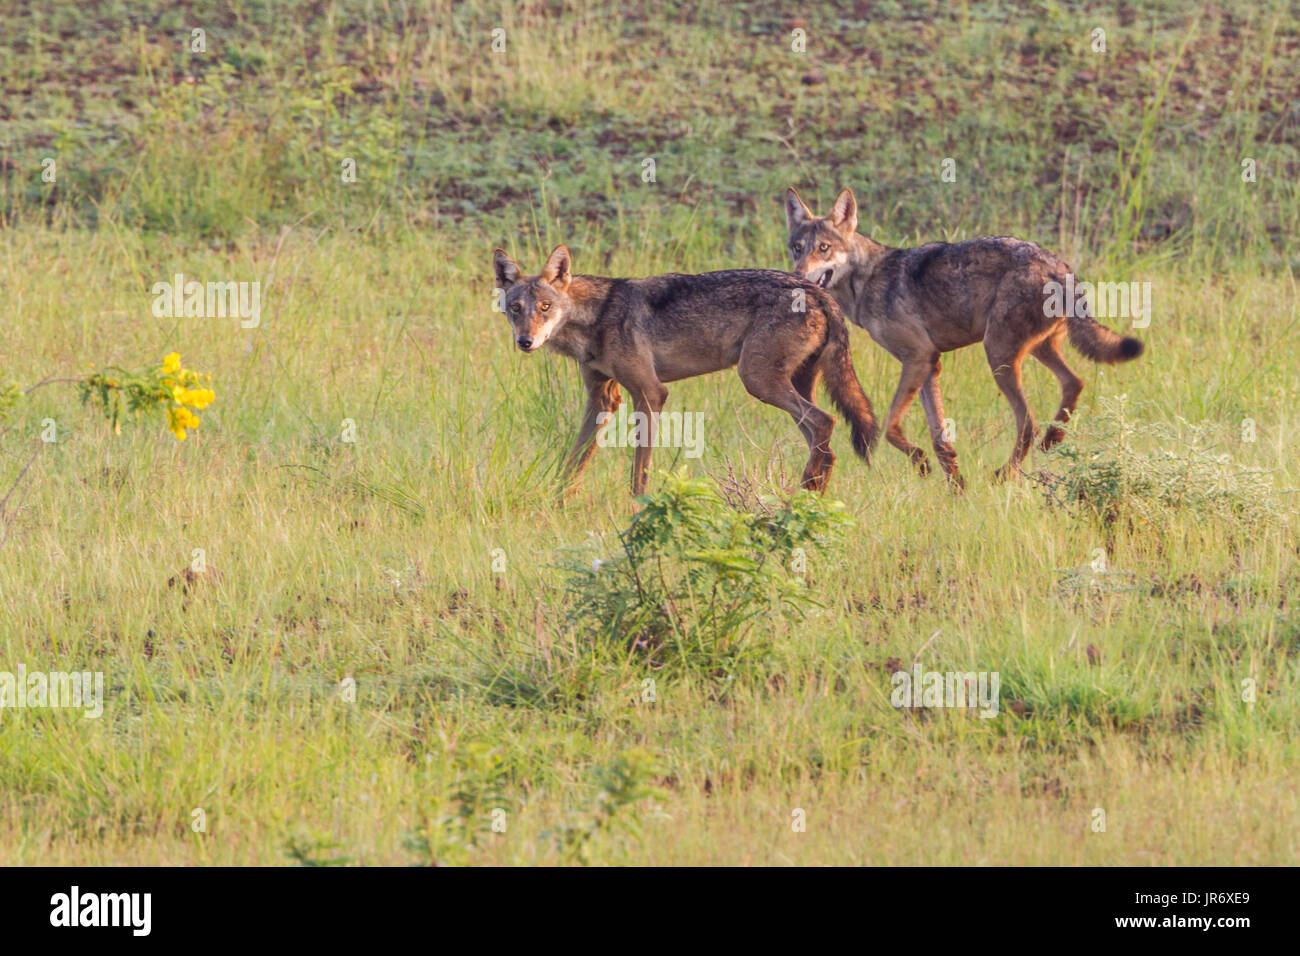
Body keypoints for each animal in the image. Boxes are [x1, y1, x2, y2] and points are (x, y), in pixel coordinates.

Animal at [491, 243, 878, 496]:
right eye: (516, 308)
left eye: (545, 307)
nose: (525, 341)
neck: (598, 316)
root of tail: (816, 290)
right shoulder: (603, 399)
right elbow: (574, 462)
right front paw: (556, 502)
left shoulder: (651, 394)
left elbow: (639, 471)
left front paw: (638, 509)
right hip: (786, 386)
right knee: (825, 442)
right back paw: (808, 499)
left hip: (758, 381)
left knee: (826, 422)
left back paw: (801, 496)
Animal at [774, 187, 1144, 486]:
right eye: (797, 248)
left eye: (823, 248)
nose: (797, 276)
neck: (868, 280)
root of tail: (1057, 264)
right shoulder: (929, 367)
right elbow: (939, 437)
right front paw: (955, 485)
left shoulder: (919, 357)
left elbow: (890, 426)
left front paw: (922, 464)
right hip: (1035, 350)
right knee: (1074, 384)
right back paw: (1053, 439)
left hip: (999, 356)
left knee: (1028, 423)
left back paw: (1003, 475)